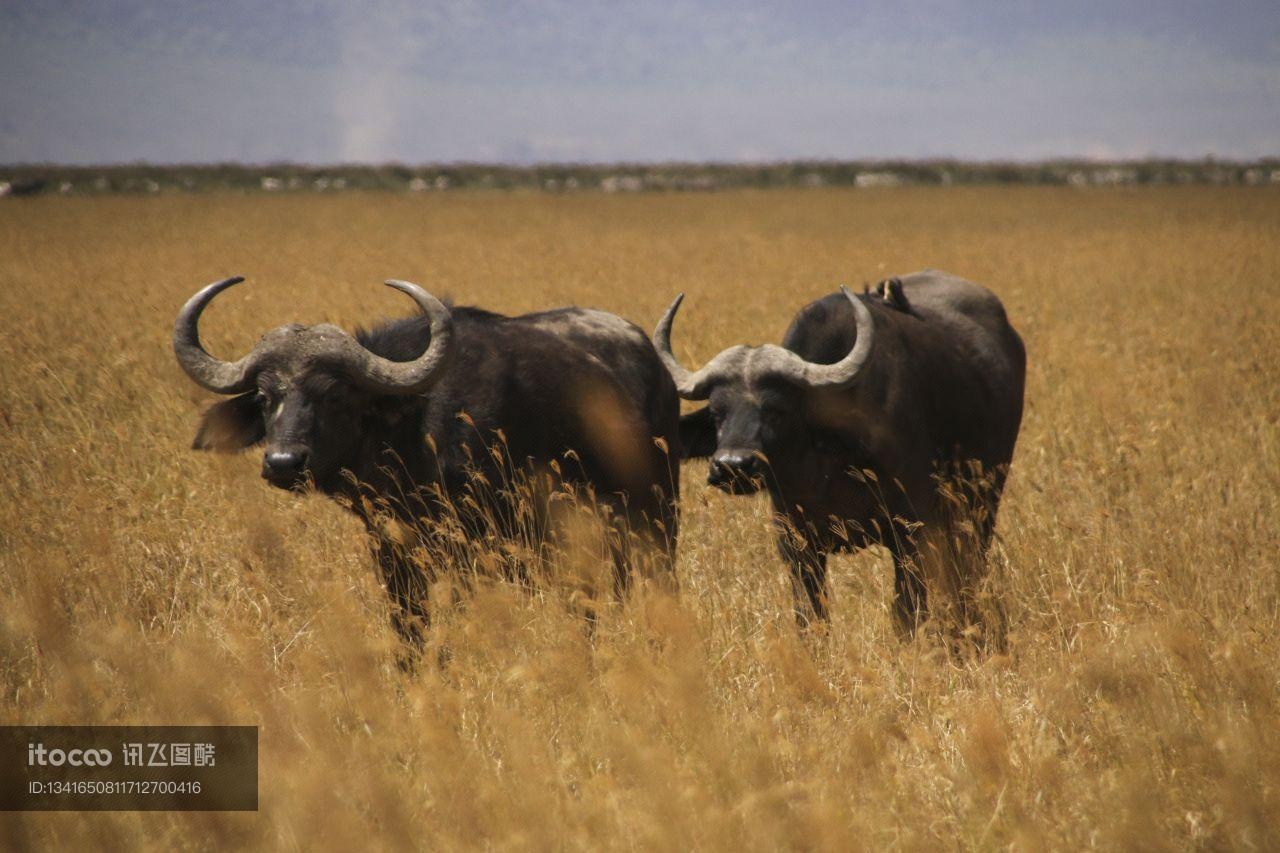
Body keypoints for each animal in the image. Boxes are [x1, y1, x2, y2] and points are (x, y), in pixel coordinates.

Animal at [177, 279, 691, 645]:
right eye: (266, 397)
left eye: (336, 394)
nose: (284, 462)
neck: (416, 433)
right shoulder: (393, 551)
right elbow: (410, 629)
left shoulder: (475, 551)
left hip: (655, 522)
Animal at [655, 268, 1024, 635]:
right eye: (718, 413)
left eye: (776, 409)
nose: (733, 465)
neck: (827, 464)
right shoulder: (797, 543)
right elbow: (811, 617)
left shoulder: (911, 533)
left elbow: (906, 613)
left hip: (980, 505)